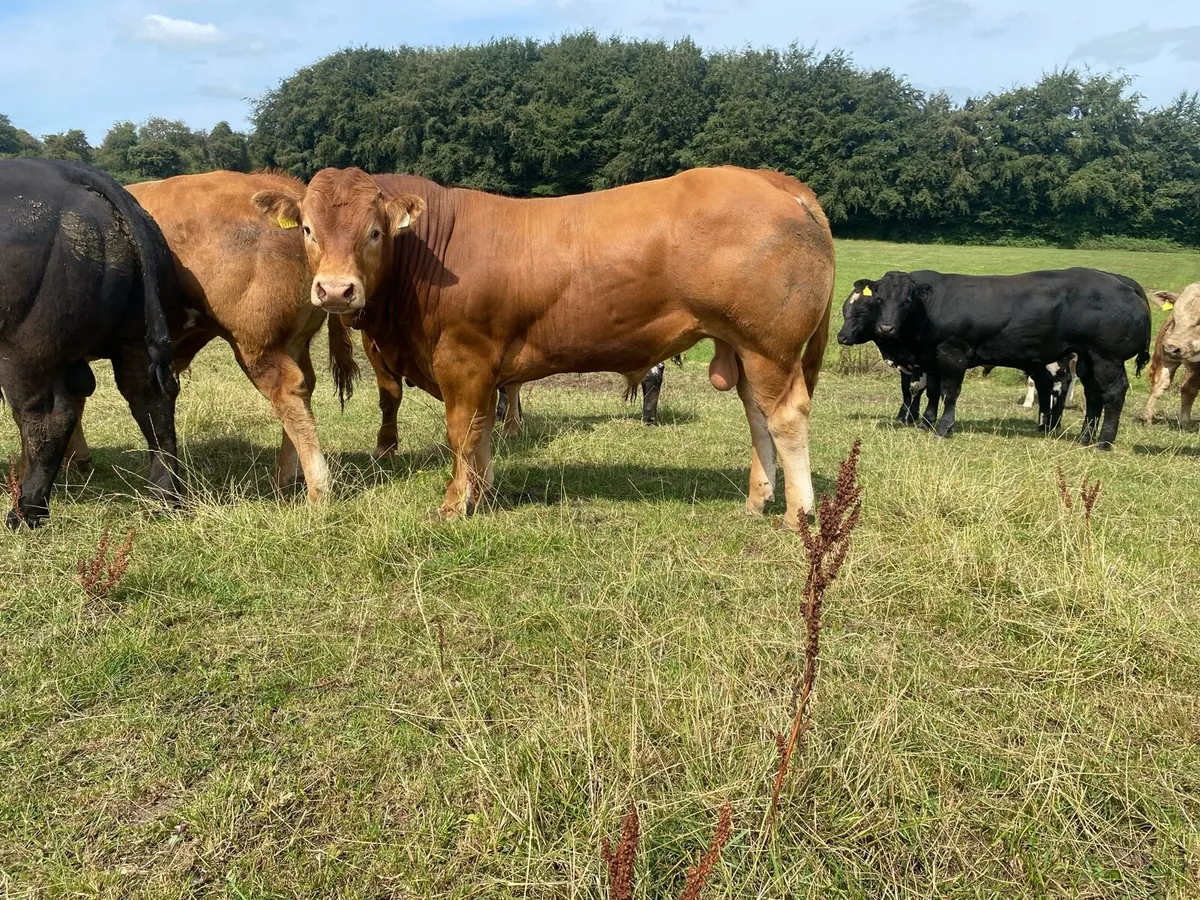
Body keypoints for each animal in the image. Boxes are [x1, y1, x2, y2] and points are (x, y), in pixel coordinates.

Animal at [0, 159, 181, 527]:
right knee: (152, 403)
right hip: (134, 340)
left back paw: (24, 512)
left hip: (23, 352)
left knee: (48, 419)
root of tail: (65, 171)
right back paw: (163, 497)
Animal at [65, 171, 360, 502]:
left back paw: (318, 488)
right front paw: (77, 460)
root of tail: (287, 190)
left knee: (288, 392)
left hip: (257, 345)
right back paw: (286, 478)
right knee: (305, 386)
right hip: (294, 341)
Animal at [252, 166, 835, 530]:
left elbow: (461, 433)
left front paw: (453, 504)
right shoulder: (483, 369)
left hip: (770, 346)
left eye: (374, 232)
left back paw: (797, 514)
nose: (335, 290)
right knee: (759, 418)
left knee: (786, 417)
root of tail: (771, 180)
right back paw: (757, 500)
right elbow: (482, 432)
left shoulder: (462, 358)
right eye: (307, 228)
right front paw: (483, 495)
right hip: (744, 348)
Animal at [837, 269, 1150, 447]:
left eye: (907, 300)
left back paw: (1104, 441)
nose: (886, 328)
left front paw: (944, 427)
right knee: (1093, 395)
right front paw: (926, 422)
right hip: (1087, 358)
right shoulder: (931, 359)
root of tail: (1121, 281)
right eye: (879, 300)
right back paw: (1085, 438)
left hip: (1106, 358)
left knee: (1113, 393)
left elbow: (950, 392)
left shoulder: (953, 354)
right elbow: (933, 392)